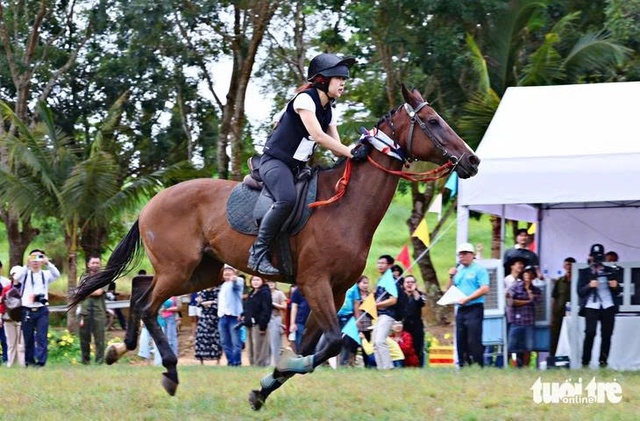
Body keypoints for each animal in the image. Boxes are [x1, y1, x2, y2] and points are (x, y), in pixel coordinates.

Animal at [70, 84, 479, 410]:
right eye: (432, 122)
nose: (472, 161)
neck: (347, 207)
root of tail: (150, 204)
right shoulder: (315, 284)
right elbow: (330, 344)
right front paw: (280, 368)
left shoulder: (335, 289)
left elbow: (311, 347)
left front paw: (265, 387)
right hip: (179, 269)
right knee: (147, 304)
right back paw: (169, 371)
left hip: (201, 272)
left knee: (140, 290)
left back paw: (118, 348)